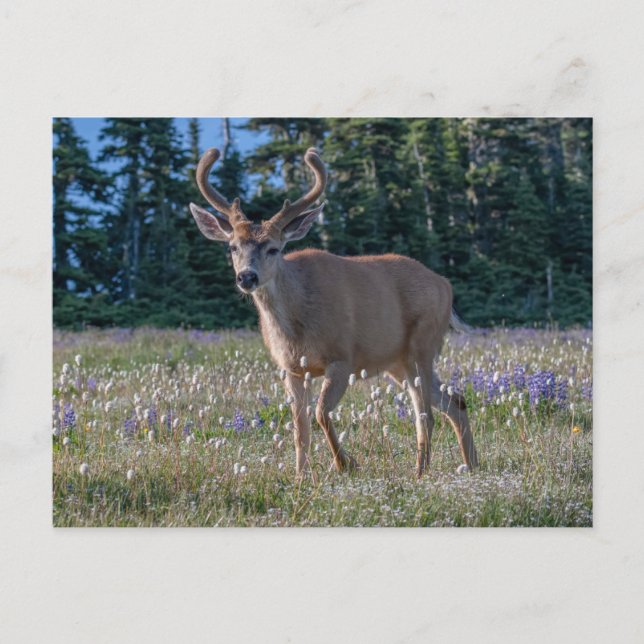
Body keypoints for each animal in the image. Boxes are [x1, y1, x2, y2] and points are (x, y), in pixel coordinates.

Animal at [189, 147, 478, 479]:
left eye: (274, 248)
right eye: (233, 247)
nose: (246, 277)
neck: (296, 325)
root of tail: (445, 285)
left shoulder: (342, 358)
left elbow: (320, 413)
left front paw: (345, 463)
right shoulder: (291, 368)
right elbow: (300, 428)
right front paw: (301, 476)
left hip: (422, 344)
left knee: (425, 415)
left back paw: (420, 472)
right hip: (398, 362)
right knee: (455, 401)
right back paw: (471, 464)